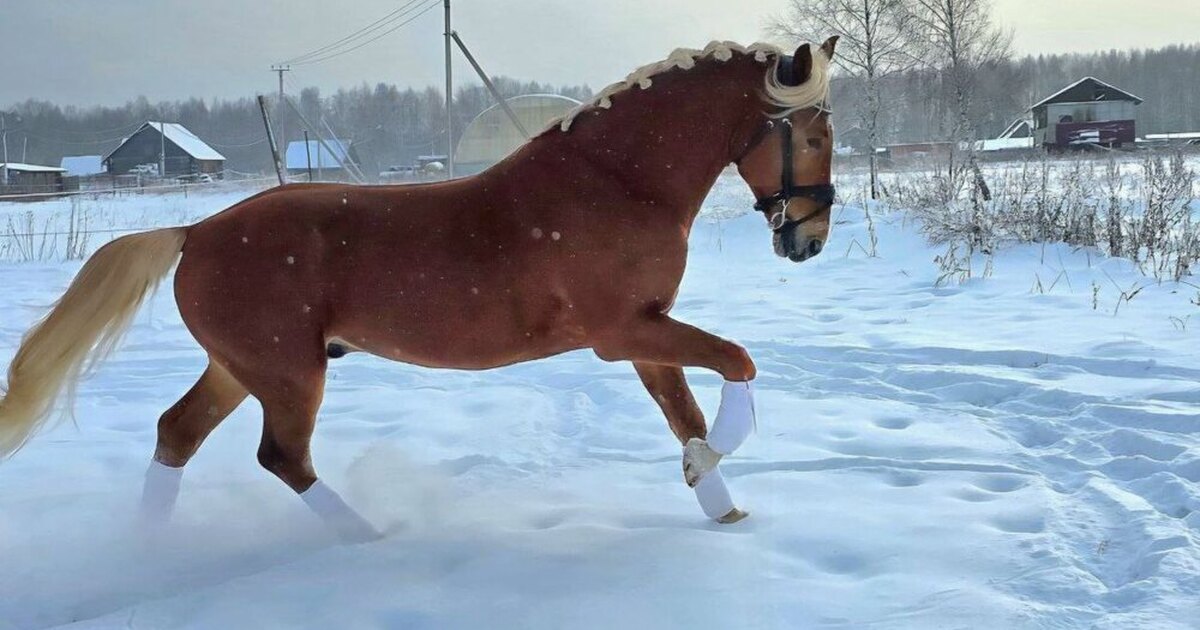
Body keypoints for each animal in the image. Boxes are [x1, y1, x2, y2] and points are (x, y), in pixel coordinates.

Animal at [0, 37, 838, 541]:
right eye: (815, 131)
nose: (810, 239)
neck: (617, 182)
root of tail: (197, 232)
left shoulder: (646, 329)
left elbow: (685, 413)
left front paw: (722, 505)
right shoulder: (620, 332)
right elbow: (737, 362)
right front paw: (710, 470)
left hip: (240, 368)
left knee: (178, 433)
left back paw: (149, 542)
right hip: (288, 372)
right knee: (282, 457)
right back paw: (367, 536)